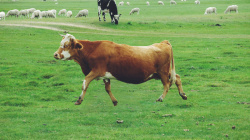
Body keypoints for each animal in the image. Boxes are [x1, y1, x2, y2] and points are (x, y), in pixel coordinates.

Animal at [54, 34, 188, 105]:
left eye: (66, 45)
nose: (55, 54)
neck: (92, 49)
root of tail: (163, 42)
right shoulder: (105, 75)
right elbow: (107, 89)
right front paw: (114, 101)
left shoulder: (96, 71)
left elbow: (84, 83)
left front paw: (79, 100)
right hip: (162, 73)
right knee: (177, 78)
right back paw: (183, 95)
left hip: (163, 72)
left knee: (167, 85)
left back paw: (161, 98)